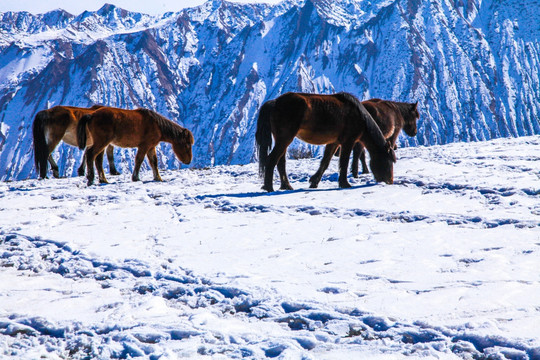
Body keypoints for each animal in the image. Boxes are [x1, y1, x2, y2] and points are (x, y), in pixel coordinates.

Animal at [255, 93, 394, 194]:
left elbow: (325, 162)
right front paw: (344, 183)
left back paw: (286, 186)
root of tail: (275, 102)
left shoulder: (333, 143)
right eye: (388, 161)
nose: (389, 181)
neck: (359, 116)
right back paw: (269, 187)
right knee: (272, 159)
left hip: (282, 140)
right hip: (285, 138)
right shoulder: (348, 142)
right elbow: (343, 162)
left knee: (280, 162)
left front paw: (314, 182)